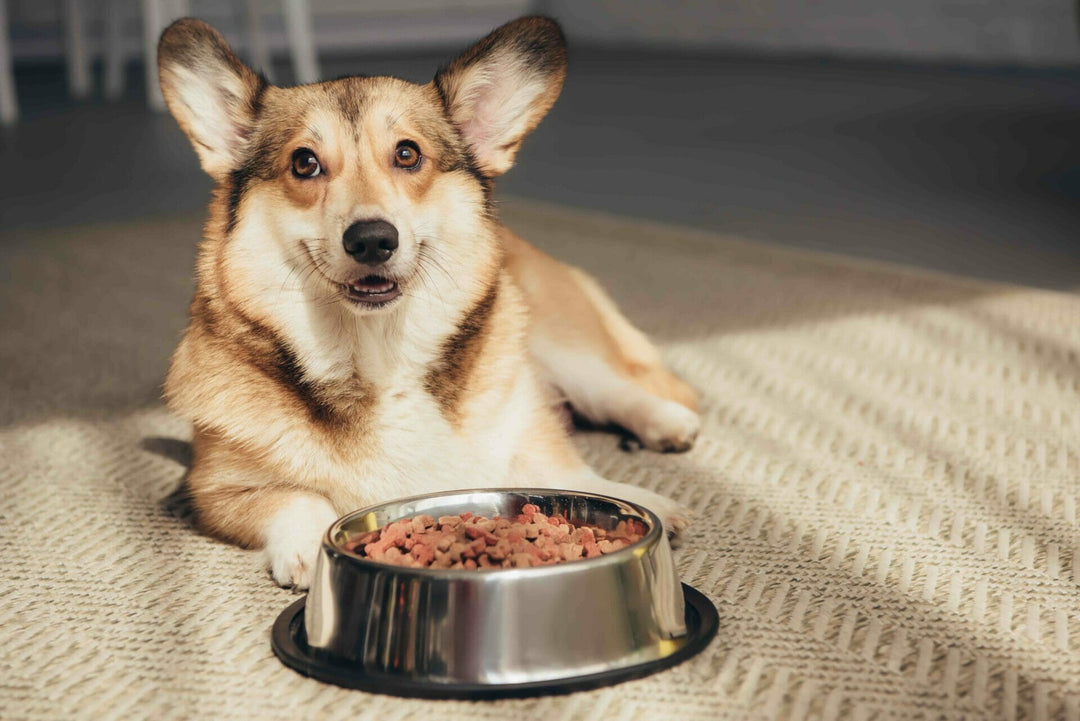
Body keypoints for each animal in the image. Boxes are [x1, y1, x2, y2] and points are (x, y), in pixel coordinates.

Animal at [157, 15, 699, 591]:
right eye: (304, 163)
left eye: (407, 154)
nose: (372, 239)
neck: (378, 355)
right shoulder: (213, 489)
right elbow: (294, 497)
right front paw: (308, 545)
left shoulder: (526, 425)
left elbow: (567, 472)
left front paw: (633, 498)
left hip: (561, 346)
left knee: (618, 389)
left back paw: (669, 423)